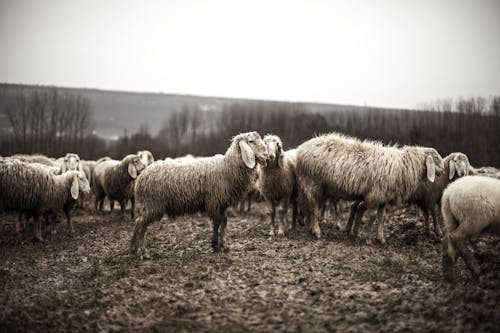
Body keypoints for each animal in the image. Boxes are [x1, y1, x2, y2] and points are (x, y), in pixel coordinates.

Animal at [130, 130, 270, 254]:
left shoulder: (222, 202)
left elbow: (224, 223)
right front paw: (216, 246)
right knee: (141, 224)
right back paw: (142, 251)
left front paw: (224, 245)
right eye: (251, 141)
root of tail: (141, 176)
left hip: (149, 205)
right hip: (152, 204)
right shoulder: (214, 201)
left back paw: (134, 248)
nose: (266, 155)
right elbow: (217, 223)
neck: (227, 167)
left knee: (138, 223)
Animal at [294, 131, 444, 243]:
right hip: (312, 182)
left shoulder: (383, 197)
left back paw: (311, 228)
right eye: (436, 158)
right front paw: (367, 239)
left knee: (310, 207)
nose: (443, 172)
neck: (404, 166)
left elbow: (381, 217)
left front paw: (381, 238)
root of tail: (301, 149)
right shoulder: (374, 195)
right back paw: (317, 231)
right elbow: (372, 217)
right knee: (313, 207)